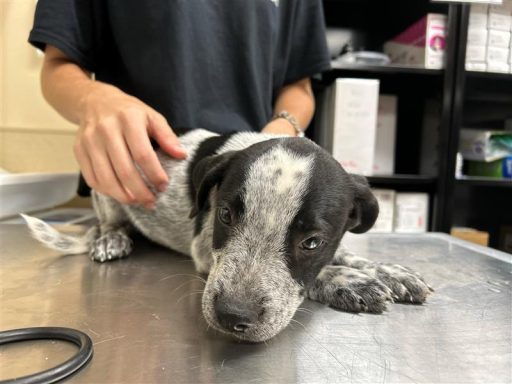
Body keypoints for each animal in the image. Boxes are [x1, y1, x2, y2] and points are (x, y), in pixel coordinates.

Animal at [24, 129, 432, 342]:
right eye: (224, 215)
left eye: (312, 241)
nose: (232, 317)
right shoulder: (204, 248)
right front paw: (346, 280)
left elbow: (343, 254)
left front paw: (386, 271)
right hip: (108, 187)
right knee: (109, 222)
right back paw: (112, 238)